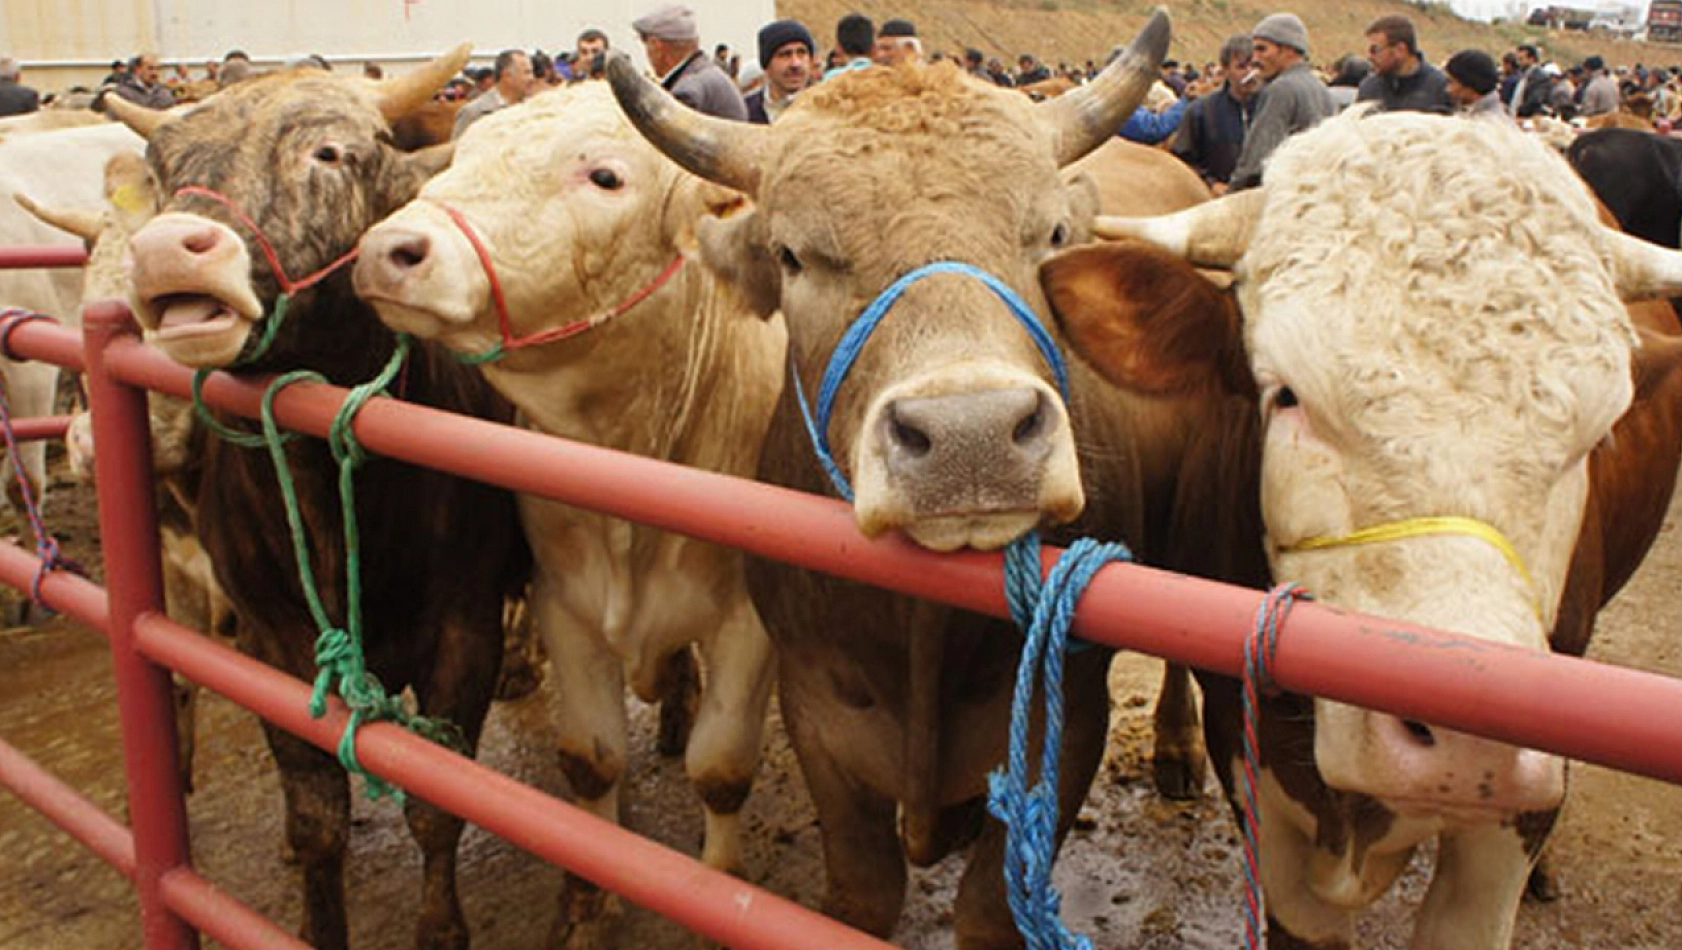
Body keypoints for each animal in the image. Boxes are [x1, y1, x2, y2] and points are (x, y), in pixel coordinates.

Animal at [108, 51, 528, 948]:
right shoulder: (271, 640)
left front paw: (441, 927)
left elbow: (436, 806)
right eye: (162, 167)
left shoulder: (463, 630)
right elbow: (317, 819)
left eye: (329, 153)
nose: (167, 253)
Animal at [351, 81, 783, 941]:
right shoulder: (566, 601)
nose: (389, 249)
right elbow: (591, 760)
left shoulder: (747, 625)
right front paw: (587, 903)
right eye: (463, 158)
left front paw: (720, 885)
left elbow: (721, 768)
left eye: (606, 177)